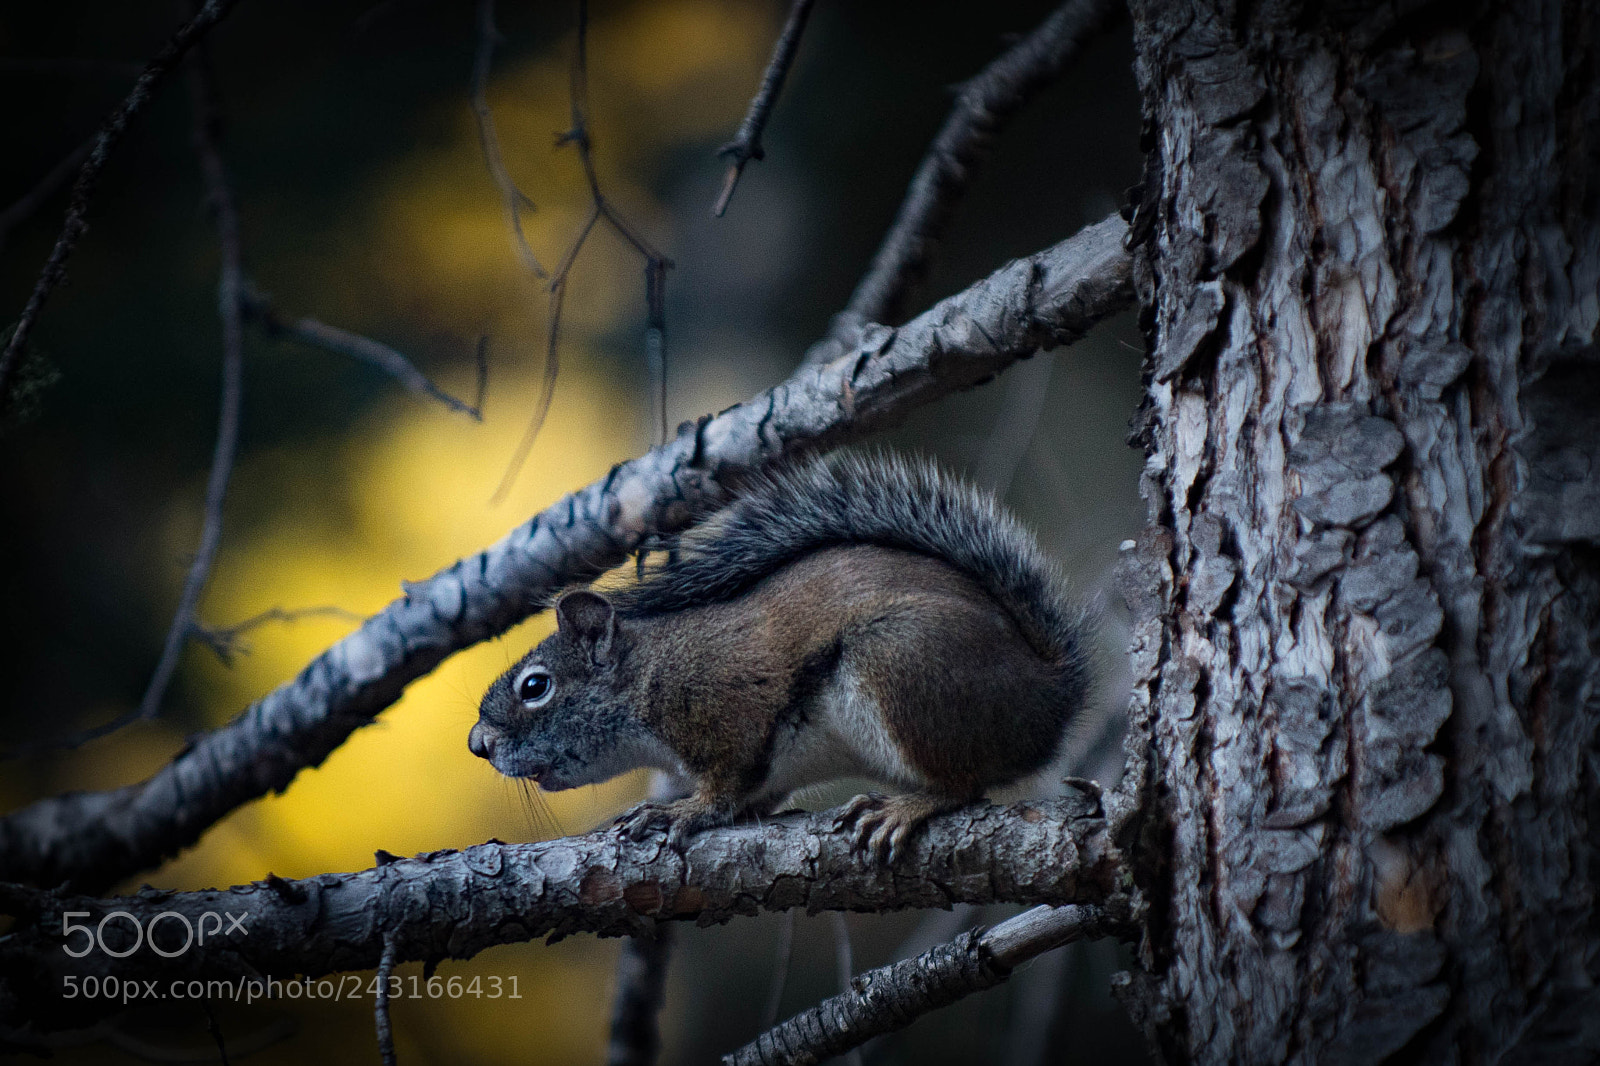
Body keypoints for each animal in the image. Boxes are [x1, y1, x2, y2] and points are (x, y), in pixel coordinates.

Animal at [469, 451, 1091, 860]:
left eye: (535, 687)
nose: (478, 745)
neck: (650, 675)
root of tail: (1049, 697)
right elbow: (755, 794)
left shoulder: (725, 710)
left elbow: (724, 784)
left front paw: (679, 812)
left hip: (902, 663)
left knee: (964, 785)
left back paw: (904, 808)